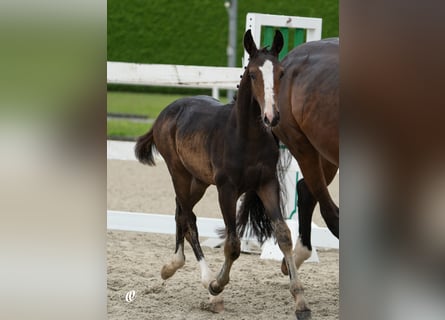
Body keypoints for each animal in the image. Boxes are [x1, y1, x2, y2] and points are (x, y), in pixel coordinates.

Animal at [136, 29, 312, 318]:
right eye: (252, 74)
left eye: (281, 73)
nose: (271, 116)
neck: (245, 137)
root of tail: (166, 111)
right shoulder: (226, 190)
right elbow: (233, 243)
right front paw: (217, 285)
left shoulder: (267, 184)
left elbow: (284, 235)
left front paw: (301, 302)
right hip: (178, 173)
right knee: (189, 218)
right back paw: (204, 281)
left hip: (198, 181)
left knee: (180, 212)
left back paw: (172, 265)